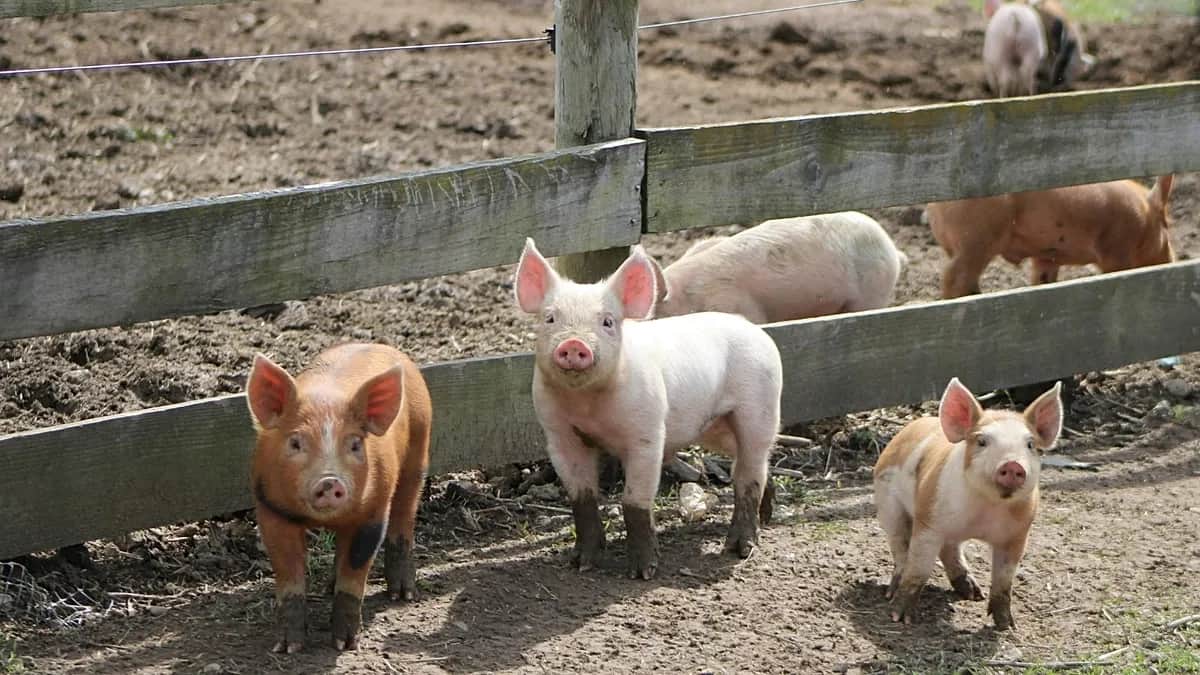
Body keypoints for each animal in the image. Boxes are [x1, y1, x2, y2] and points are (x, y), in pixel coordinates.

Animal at [245, 343, 432, 653]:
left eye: (355, 444)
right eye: (295, 442)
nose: (330, 480)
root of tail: (384, 347)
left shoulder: (373, 512)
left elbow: (354, 572)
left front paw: (344, 645)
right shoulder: (270, 508)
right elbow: (289, 574)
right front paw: (288, 648)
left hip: (419, 447)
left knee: (405, 513)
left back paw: (402, 595)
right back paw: (329, 588)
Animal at [514, 238, 783, 579]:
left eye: (608, 321)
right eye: (550, 318)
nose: (574, 344)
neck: (589, 406)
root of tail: (756, 331)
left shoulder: (647, 432)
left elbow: (635, 501)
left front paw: (642, 573)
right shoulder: (559, 435)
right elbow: (582, 498)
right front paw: (580, 564)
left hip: (760, 405)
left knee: (750, 470)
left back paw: (739, 549)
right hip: (714, 427)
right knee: (750, 464)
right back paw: (767, 518)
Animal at [873, 377, 1063, 629]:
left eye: (1030, 444)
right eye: (982, 441)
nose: (1012, 464)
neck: (985, 511)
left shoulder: (1017, 535)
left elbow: (1004, 581)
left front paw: (1007, 627)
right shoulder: (929, 521)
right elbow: (918, 569)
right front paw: (900, 618)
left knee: (950, 549)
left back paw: (974, 593)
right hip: (888, 504)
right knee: (901, 549)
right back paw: (891, 592)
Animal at [926, 175, 1175, 298]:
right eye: (1167, 224)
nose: (1173, 259)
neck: (1144, 214)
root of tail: (933, 204)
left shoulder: (1046, 257)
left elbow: (1043, 281)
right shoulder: (1116, 248)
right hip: (976, 240)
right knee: (953, 278)